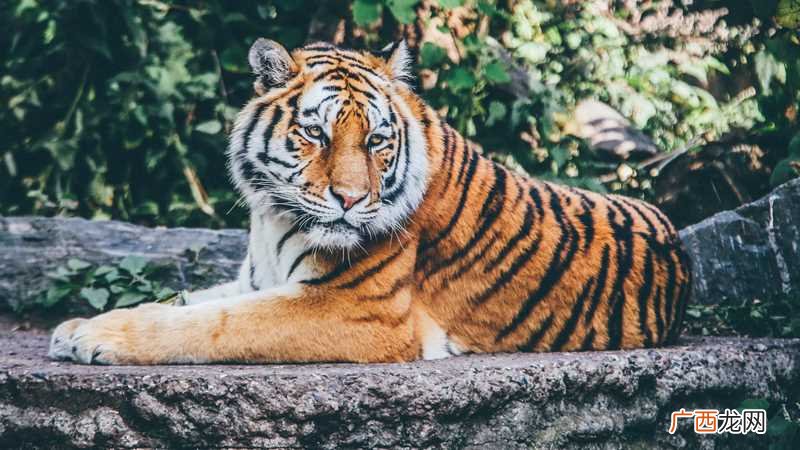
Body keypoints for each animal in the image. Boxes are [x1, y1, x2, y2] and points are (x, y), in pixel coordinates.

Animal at [48, 39, 691, 365]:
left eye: (377, 141)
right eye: (316, 134)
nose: (352, 200)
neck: (271, 217)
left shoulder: (355, 309)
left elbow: (211, 325)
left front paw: (95, 338)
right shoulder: (256, 279)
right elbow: (186, 301)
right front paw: (78, 326)